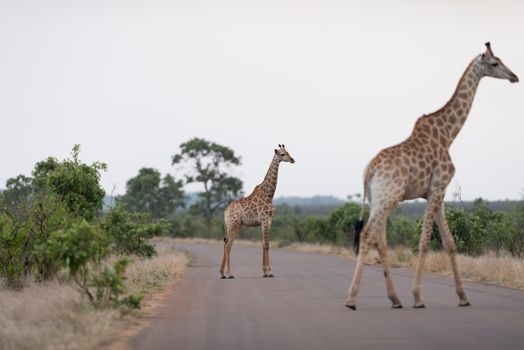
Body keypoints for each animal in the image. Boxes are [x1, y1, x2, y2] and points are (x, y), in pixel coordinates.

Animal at [220, 144, 294, 278]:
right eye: (282, 154)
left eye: (288, 152)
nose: (292, 160)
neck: (269, 194)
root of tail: (225, 212)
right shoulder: (265, 219)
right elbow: (266, 245)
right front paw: (269, 272)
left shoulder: (267, 221)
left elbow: (264, 244)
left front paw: (264, 272)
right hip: (234, 224)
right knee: (228, 245)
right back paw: (229, 273)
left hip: (231, 225)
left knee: (225, 243)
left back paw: (222, 273)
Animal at [346, 43, 516, 308]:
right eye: (495, 63)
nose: (514, 77)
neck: (448, 134)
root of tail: (368, 171)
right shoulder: (438, 188)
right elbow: (425, 241)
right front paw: (417, 297)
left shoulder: (436, 194)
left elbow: (450, 242)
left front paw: (463, 297)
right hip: (389, 198)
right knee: (366, 235)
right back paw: (352, 299)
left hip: (377, 200)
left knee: (380, 240)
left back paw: (395, 299)